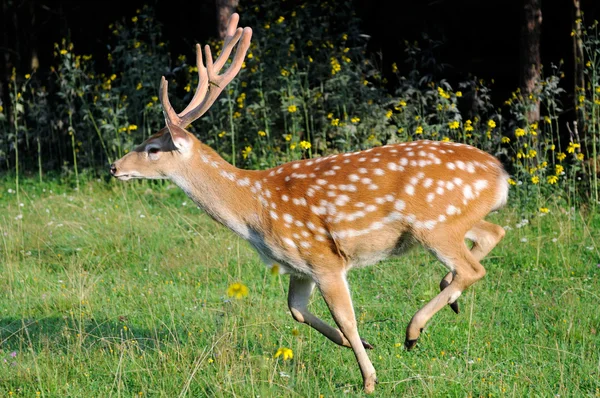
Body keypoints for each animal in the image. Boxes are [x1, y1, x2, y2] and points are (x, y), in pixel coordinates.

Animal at [109, 13, 506, 394]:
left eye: (153, 149)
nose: (114, 167)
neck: (255, 209)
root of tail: (501, 175)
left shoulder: (323, 258)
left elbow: (346, 317)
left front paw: (369, 379)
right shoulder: (298, 267)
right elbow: (297, 311)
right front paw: (360, 344)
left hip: (433, 226)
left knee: (473, 268)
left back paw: (413, 331)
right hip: (454, 220)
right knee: (493, 233)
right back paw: (447, 293)